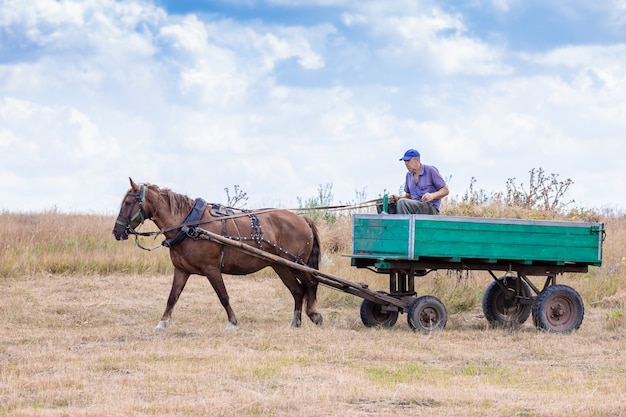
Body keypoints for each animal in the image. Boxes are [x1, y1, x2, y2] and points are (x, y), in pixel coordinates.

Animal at [111, 177, 322, 330]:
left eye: (128, 202)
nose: (116, 232)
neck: (189, 225)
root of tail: (302, 219)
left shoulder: (211, 269)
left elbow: (223, 296)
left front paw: (233, 322)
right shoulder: (181, 270)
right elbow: (172, 297)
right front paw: (162, 323)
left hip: (295, 263)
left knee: (311, 283)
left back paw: (314, 314)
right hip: (281, 265)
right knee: (297, 291)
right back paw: (295, 322)